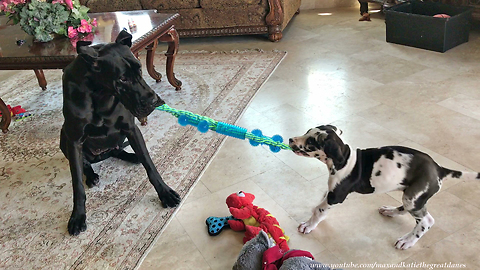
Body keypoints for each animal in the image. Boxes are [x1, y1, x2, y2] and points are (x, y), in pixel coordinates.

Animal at [60, 30, 180, 236]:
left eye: (140, 70)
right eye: (122, 79)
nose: (154, 101)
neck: (99, 92)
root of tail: (101, 155)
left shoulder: (131, 128)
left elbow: (150, 166)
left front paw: (165, 193)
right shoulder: (74, 139)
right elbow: (77, 185)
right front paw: (78, 216)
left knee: (118, 150)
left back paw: (133, 157)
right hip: (63, 136)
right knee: (86, 163)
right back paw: (91, 175)